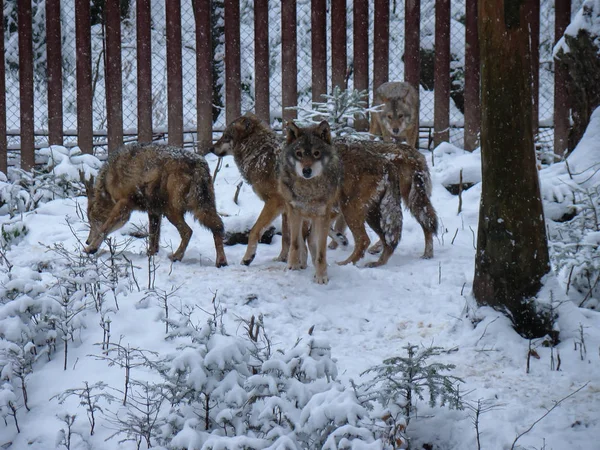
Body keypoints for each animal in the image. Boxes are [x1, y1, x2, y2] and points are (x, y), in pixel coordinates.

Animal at [82, 143, 227, 268]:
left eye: (92, 222)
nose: (87, 241)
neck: (107, 185)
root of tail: (198, 164)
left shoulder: (123, 205)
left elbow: (104, 229)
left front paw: (90, 248)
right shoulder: (154, 211)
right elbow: (153, 237)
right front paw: (151, 255)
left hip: (172, 211)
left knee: (188, 231)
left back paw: (176, 257)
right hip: (201, 208)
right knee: (218, 226)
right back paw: (221, 261)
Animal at [207, 112, 290, 266]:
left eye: (226, 136)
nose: (211, 149)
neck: (260, 153)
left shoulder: (275, 201)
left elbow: (254, 230)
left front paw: (248, 257)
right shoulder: (286, 208)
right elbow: (286, 238)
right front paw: (282, 259)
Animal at [278, 121, 340, 284]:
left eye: (316, 153)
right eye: (299, 153)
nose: (306, 171)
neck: (308, 190)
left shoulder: (323, 216)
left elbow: (321, 252)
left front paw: (321, 275)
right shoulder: (294, 211)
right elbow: (295, 243)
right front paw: (292, 267)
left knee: (312, 240)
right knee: (302, 240)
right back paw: (301, 263)